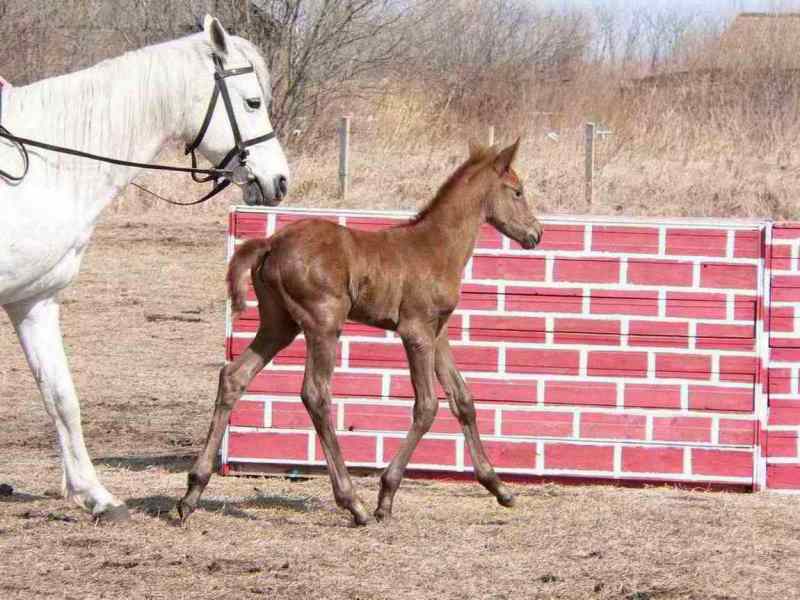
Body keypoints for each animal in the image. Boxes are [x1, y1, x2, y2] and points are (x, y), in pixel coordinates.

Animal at [0, 16, 290, 522]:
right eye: (252, 102)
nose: (279, 181)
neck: (42, 168)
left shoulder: (32, 300)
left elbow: (61, 397)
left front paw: (96, 496)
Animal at [179, 139, 543, 525]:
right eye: (517, 192)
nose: (536, 233)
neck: (436, 246)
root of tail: (271, 242)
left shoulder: (438, 333)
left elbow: (464, 400)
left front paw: (499, 487)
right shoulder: (415, 332)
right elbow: (427, 406)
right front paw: (386, 495)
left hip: (278, 325)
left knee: (234, 376)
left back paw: (192, 492)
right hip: (323, 323)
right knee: (315, 394)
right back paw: (353, 501)